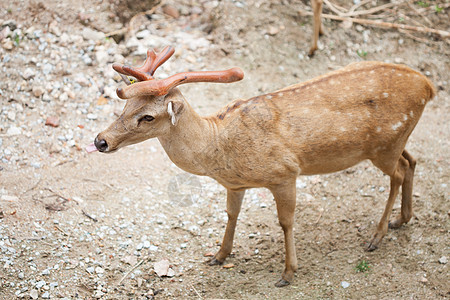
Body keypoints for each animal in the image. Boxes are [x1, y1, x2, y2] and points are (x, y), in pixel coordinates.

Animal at [88, 45, 436, 288]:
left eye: (148, 116)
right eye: (125, 106)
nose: (100, 140)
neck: (219, 147)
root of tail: (428, 86)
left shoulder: (285, 173)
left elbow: (286, 222)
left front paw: (288, 272)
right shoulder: (236, 184)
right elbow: (231, 214)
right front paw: (218, 256)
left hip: (383, 146)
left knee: (398, 172)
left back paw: (377, 236)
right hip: (395, 141)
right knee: (412, 160)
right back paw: (402, 219)